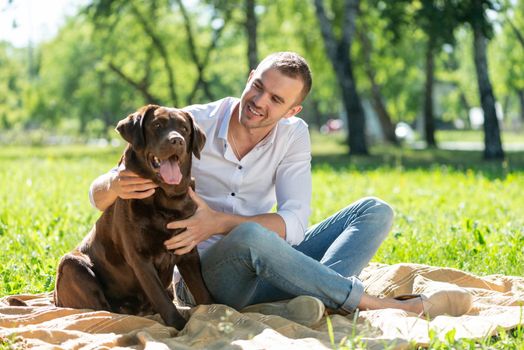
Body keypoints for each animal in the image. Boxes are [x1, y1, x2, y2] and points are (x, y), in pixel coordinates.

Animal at [54, 105, 213, 330]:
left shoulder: (188, 249)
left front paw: (216, 312)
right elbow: (162, 299)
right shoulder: (140, 259)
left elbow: (203, 291)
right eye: (157, 125)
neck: (165, 199)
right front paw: (180, 327)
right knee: (100, 309)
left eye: (184, 129)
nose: (177, 140)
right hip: (72, 265)